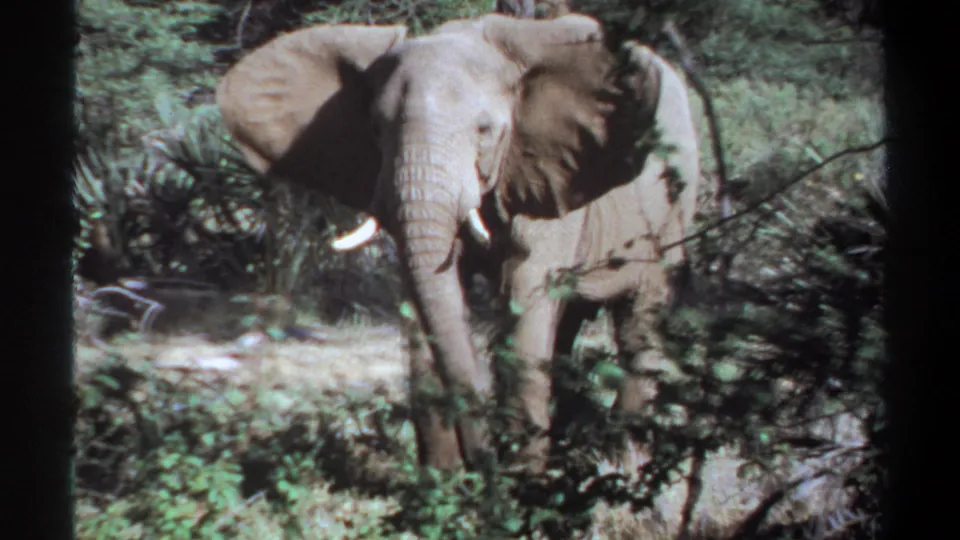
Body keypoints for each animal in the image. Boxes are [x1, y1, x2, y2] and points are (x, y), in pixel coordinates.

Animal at [216, 13, 702, 473]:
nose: (482, 461)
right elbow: (424, 303)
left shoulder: (549, 170)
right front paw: (442, 483)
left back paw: (625, 461)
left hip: (677, 208)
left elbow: (524, 294)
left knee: (639, 322)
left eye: (485, 130)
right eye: (375, 128)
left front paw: (521, 485)